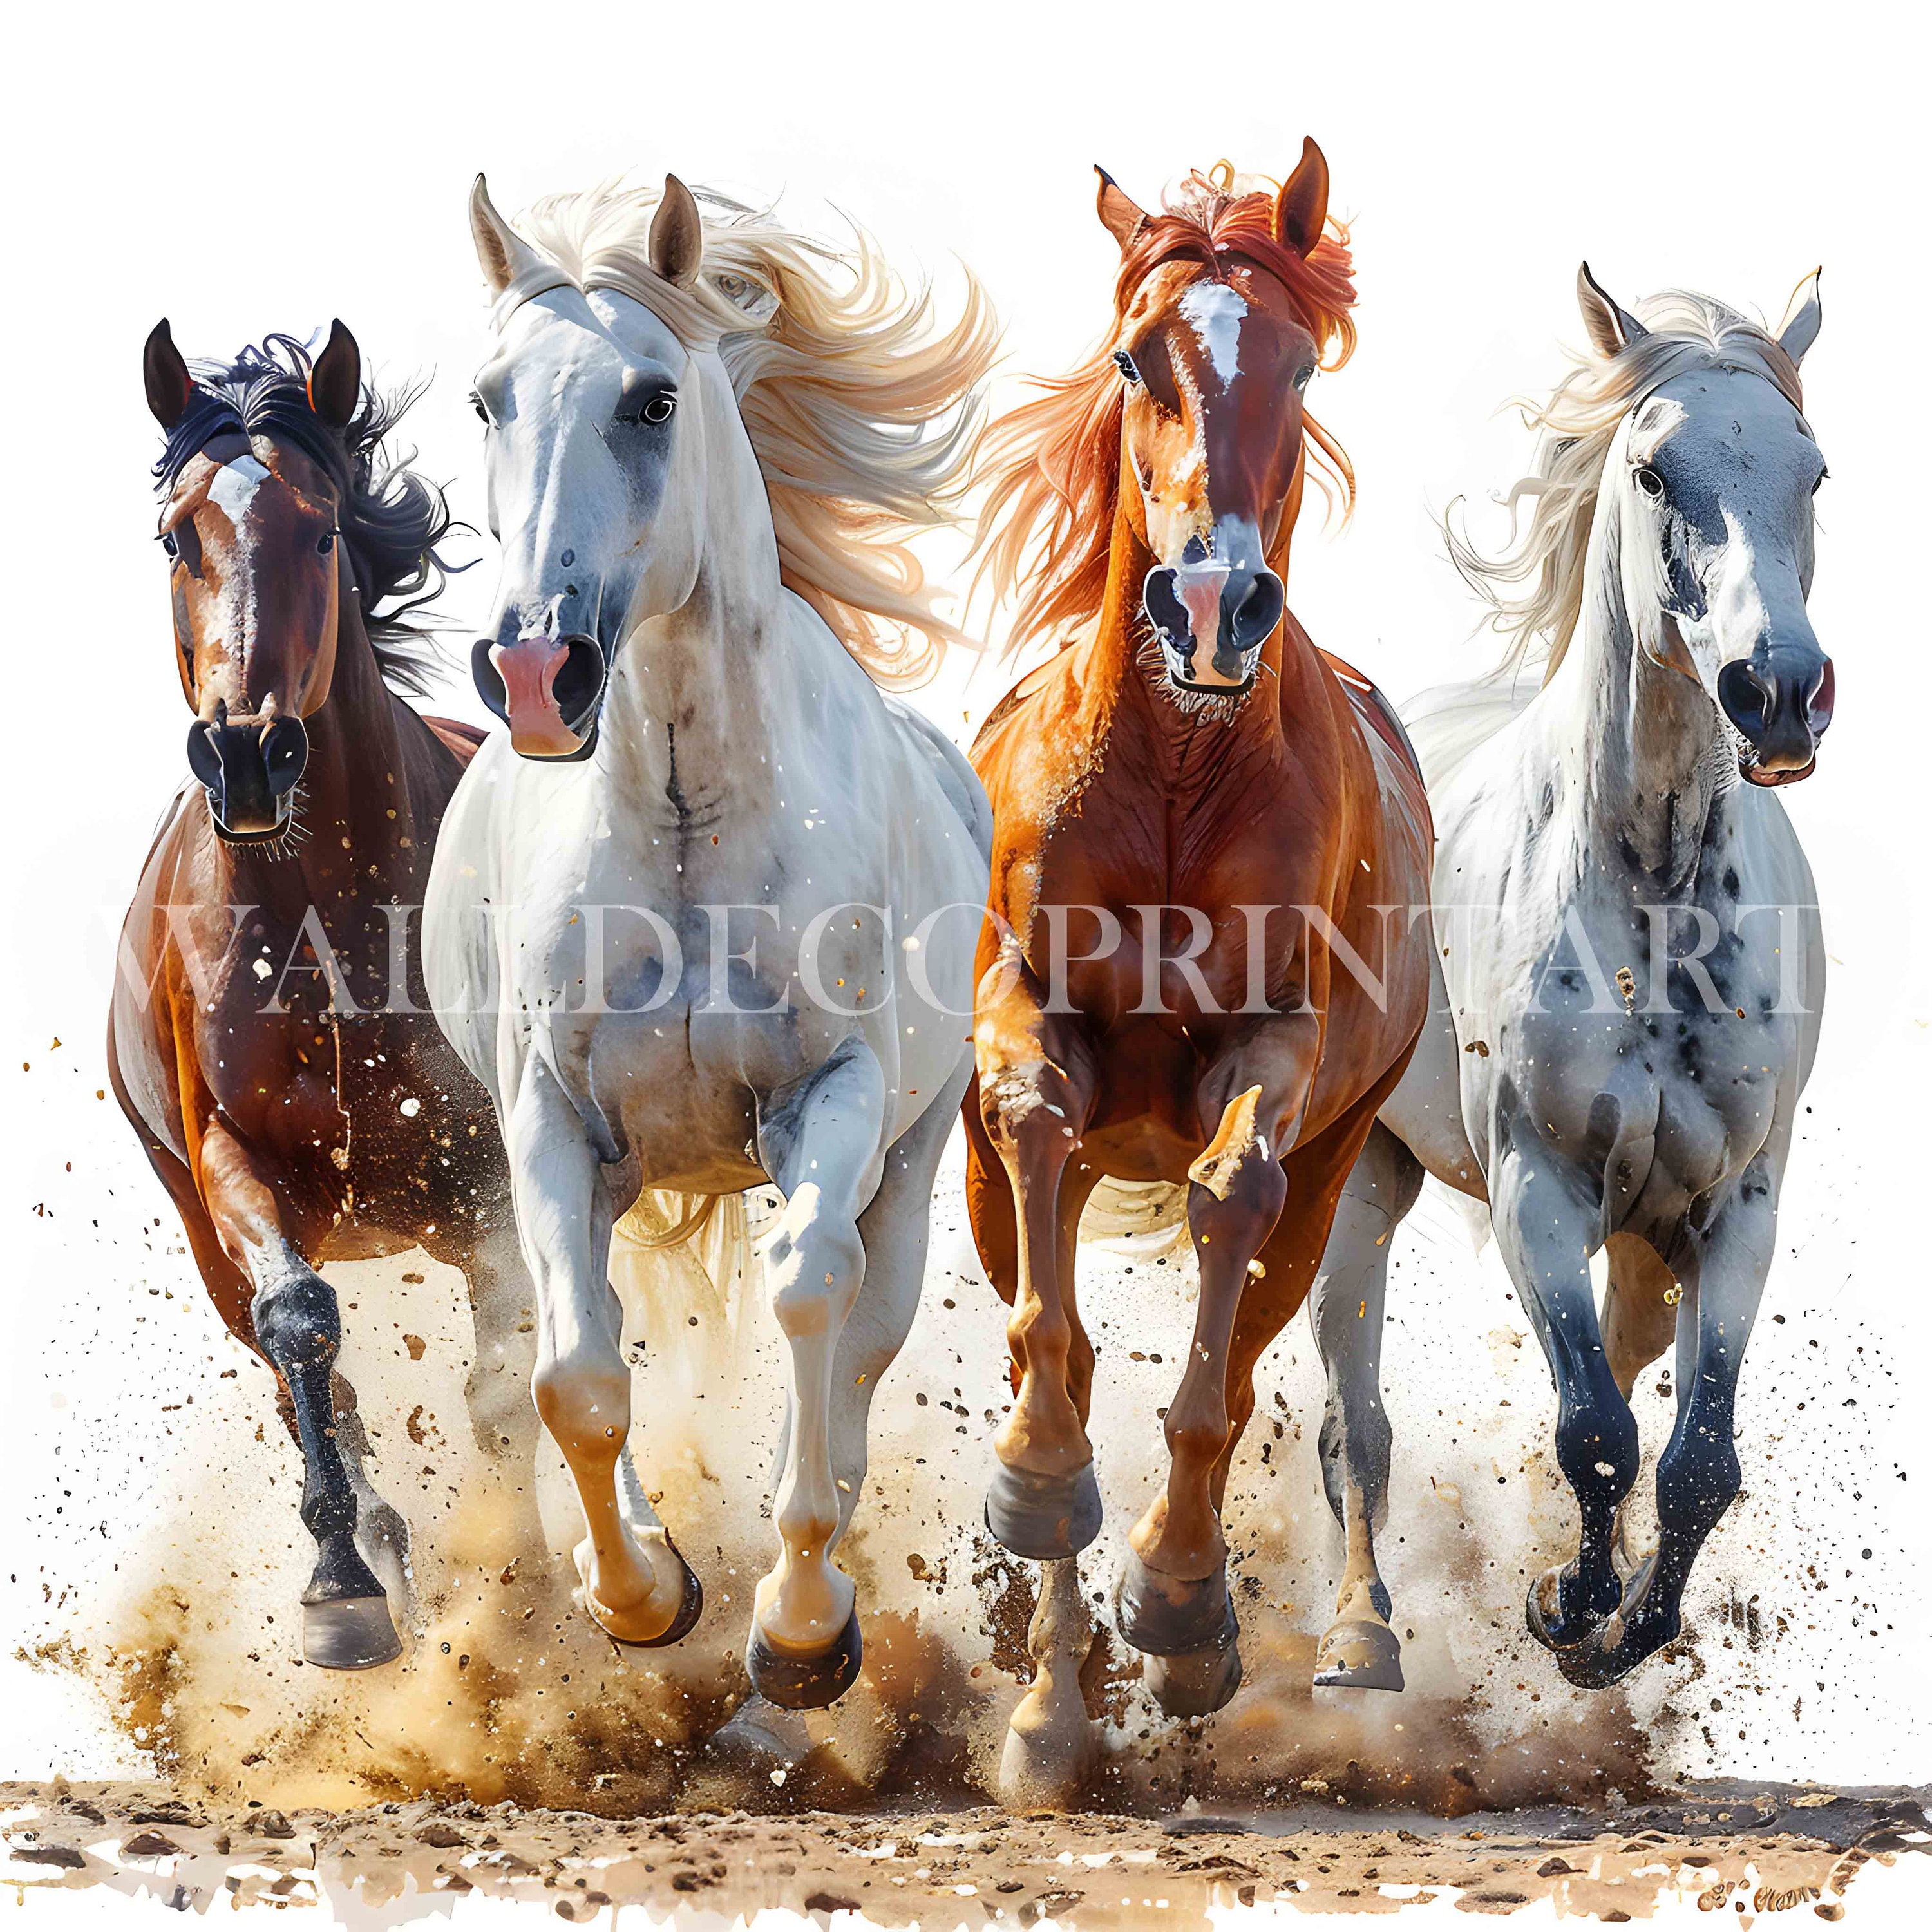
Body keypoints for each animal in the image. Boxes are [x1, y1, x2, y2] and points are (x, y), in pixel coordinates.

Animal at [108, 324, 532, 1672]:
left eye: (323, 530)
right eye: (178, 536)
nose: (248, 753)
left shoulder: (486, 1172)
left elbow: (511, 1375)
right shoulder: (228, 1163)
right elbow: (302, 1320)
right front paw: (343, 1588)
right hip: (203, 1238)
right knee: (310, 1367)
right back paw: (380, 1547)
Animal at [423, 172, 996, 1710]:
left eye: (653, 398)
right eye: (490, 398)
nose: (535, 668)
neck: (686, 820)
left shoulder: (830, 1102)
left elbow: (811, 1302)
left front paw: (798, 1631)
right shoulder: (553, 1124)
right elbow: (575, 1375)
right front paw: (639, 1593)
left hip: (912, 1158)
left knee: (857, 1340)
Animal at [962, 146, 1435, 1802]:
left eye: (1298, 364)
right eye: (1132, 361)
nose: (1216, 603)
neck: (1173, 776)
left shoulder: (1281, 1055)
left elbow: (1229, 1215)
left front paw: (1173, 1598)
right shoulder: (1020, 1019)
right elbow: (1036, 1133)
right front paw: (1039, 1492)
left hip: (1341, 1172)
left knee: (1235, 1358)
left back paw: (1183, 1637)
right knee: (1051, 1309)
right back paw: (1045, 1708)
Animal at [1353, 266, 1831, 1689]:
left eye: (1815, 472)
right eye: (1656, 469)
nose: (1779, 691)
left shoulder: (1736, 1208)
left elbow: (1696, 1460)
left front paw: (1626, 1630)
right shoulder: (1540, 1189)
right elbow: (1597, 1432)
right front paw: (1564, 1614)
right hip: (1359, 1182)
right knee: (1350, 1420)